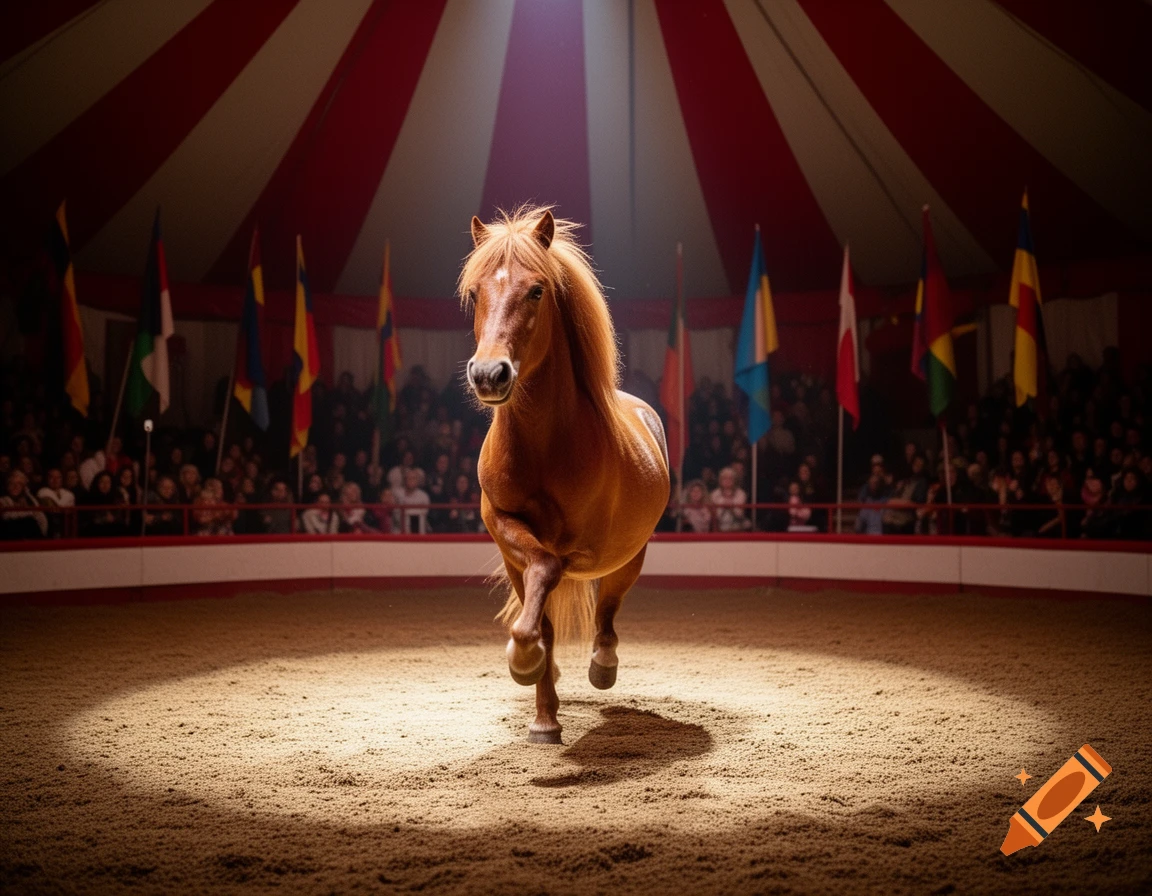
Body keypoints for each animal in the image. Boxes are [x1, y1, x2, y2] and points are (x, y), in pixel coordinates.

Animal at [459, 206, 670, 744]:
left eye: (536, 290)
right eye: (474, 294)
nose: (489, 374)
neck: (543, 446)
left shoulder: (585, 549)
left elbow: (552, 574)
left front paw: (525, 658)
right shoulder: (506, 529)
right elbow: (542, 592)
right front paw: (542, 708)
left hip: (628, 556)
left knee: (608, 611)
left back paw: (603, 664)